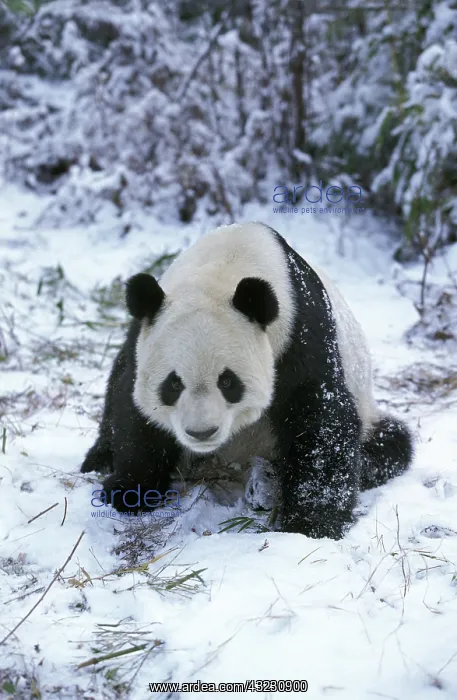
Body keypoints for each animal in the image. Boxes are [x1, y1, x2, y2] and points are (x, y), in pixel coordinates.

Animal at [81, 222, 413, 539]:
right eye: (173, 384)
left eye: (228, 382)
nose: (202, 433)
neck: (231, 260)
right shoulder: (144, 336)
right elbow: (131, 405)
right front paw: (127, 491)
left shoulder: (301, 332)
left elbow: (321, 417)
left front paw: (310, 524)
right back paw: (99, 459)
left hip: (368, 415)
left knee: (392, 445)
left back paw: (269, 482)